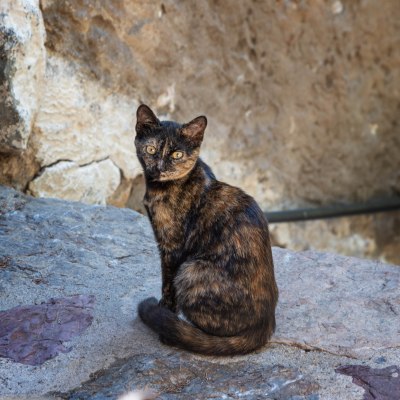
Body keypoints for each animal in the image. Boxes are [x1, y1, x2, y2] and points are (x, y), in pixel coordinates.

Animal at [135, 104, 278, 356]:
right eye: (151, 149)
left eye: (177, 155)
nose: (160, 168)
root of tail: (265, 325)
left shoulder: (171, 247)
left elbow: (167, 285)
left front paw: (164, 312)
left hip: (190, 270)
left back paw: (177, 332)